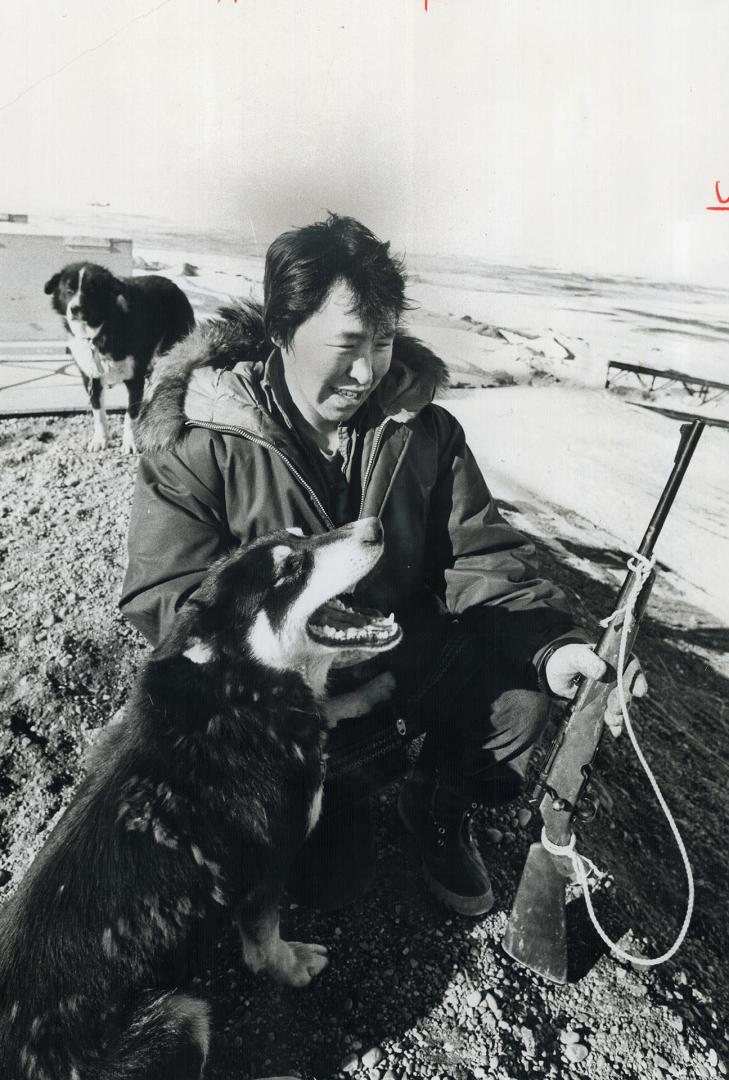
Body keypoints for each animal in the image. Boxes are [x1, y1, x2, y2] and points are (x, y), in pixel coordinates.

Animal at [0, 518, 401, 1075]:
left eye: (301, 533)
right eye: (291, 569)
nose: (374, 525)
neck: (239, 697)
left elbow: (329, 705)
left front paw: (370, 691)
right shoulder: (265, 869)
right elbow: (264, 942)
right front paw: (291, 965)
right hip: (181, 1016)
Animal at [44, 263, 195, 453]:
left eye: (92, 291)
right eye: (68, 290)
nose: (75, 309)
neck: (99, 332)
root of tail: (173, 285)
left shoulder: (135, 379)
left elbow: (131, 415)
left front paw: (130, 443)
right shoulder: (91, 379)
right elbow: (98, 412)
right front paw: (101, 440)